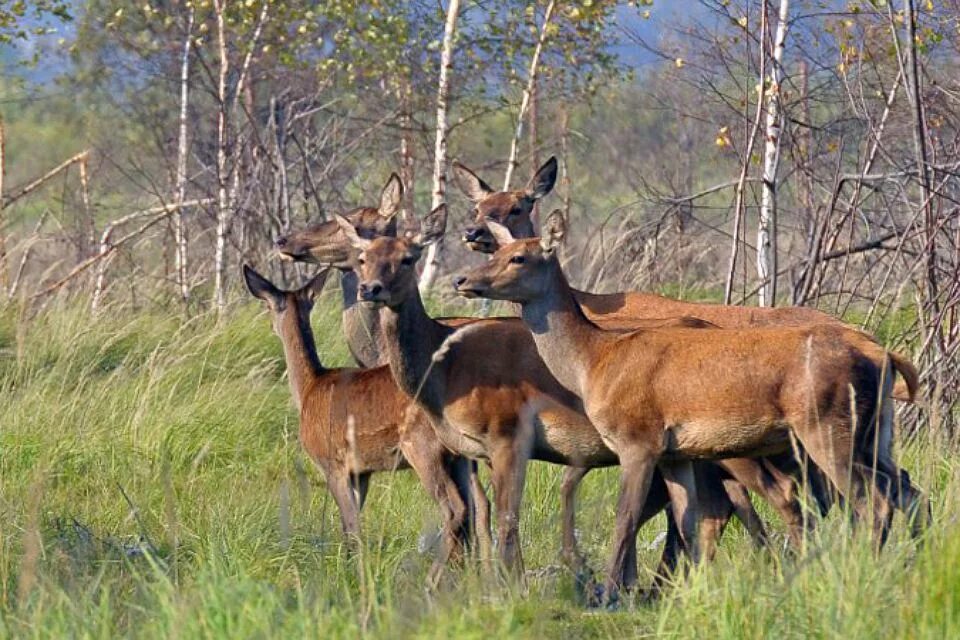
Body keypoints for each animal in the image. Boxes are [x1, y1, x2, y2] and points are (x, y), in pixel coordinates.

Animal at [240, 262, 476, 580]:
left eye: (267, 306)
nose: (269, 326)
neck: (309, 388)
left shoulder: (331, 462)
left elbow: (350, 525)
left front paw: (352, 574)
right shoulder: (361, 471)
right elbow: (350, 523)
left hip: (423, 447)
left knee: (454, 509)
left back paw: (436, 576)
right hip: (459, 455)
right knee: (473, 510)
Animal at [338, 201, 808, 592]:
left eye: (408, 257)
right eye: (362, 257)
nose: (371, 288)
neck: (440, 373)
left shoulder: (506, 435)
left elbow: (503, 515)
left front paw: (507, 586)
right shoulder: (473, 451)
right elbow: (481, 513)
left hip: (727, 445)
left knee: (760, 498)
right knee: (715, 510)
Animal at [454, 210, 928, 600]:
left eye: (520, 257)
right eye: (499, 249)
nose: (461, 280)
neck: (594, 362)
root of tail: (884, 357)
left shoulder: (638, 439)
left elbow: (625, 518)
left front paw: (610, 592)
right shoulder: (676, 453)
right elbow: (687, 522)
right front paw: (685, 591)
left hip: (826, 426)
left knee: (871, 503)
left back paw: (865, 570)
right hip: (876, 433)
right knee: (909, 491)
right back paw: (906, 566)